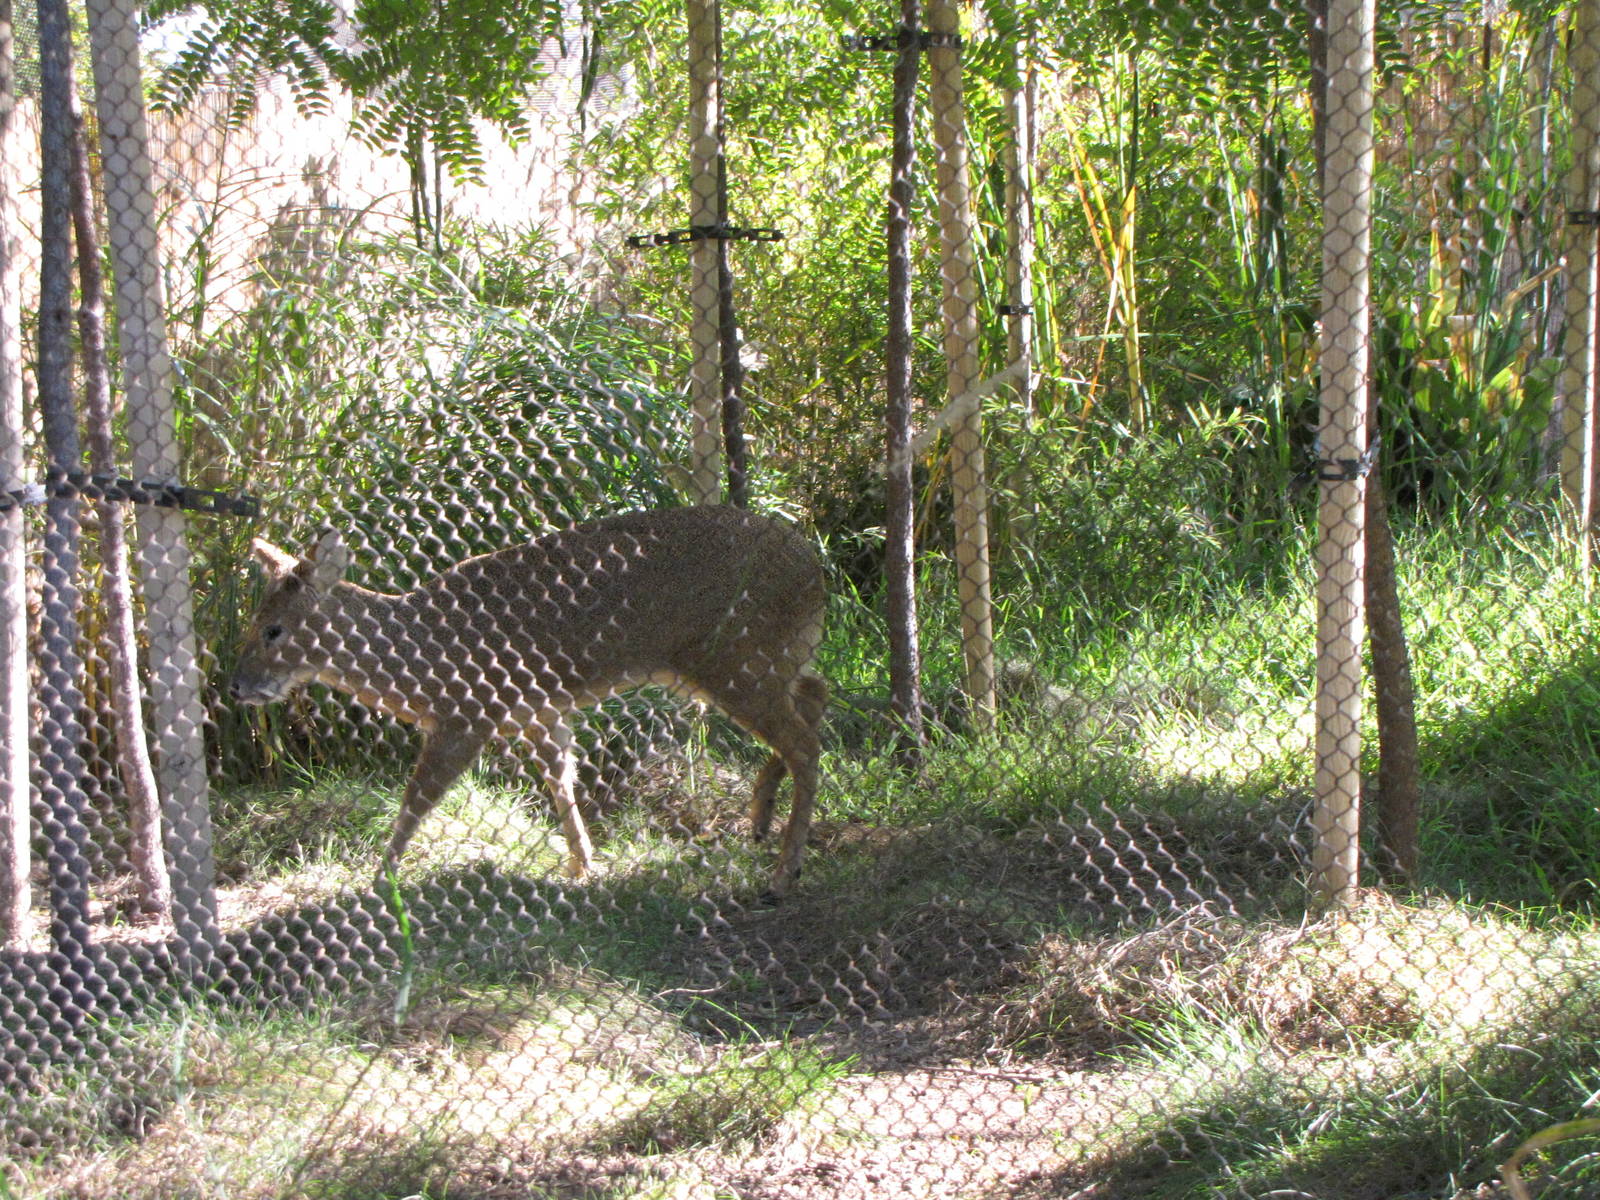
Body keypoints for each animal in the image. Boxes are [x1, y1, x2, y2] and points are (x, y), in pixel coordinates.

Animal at [229, 505, 828, 902]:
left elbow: (416, 800)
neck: (415, 664)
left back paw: (783, 873)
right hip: (769, 657)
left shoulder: (465, 714)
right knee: (814, 699)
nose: (236, 687)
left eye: (274, 629)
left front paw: (380, 883)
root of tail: (815, 568)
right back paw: (760, 823)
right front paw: (583, 867)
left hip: (736, 657)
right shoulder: (542, 709)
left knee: (803, 742)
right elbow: (561, 780)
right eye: (252, 622)